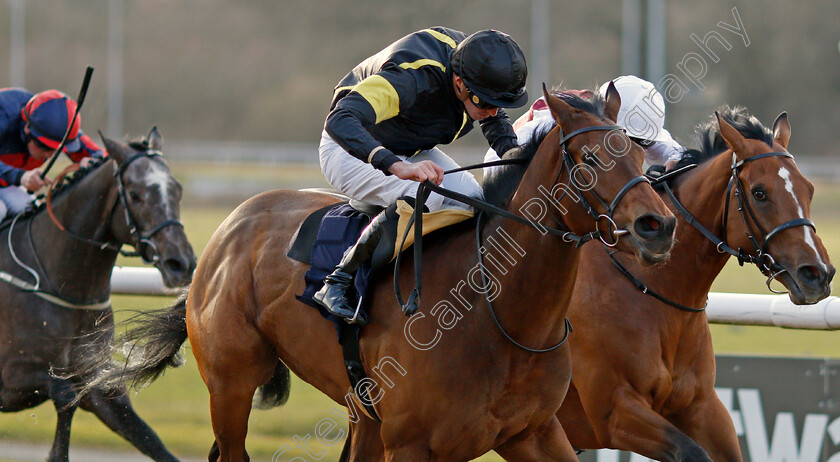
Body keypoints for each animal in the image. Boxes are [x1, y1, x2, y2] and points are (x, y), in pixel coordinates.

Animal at [0, 127, 195, 462]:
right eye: (135, 194)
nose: (181, 262)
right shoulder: (9, 380)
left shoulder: (99, 382)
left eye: (177, 190)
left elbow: (152, 442)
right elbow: (65, 394)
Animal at [95, 85, 680, 460]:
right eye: (589, 158)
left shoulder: (533, 433)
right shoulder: (411, 442)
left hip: (359, 416)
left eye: (638, 153)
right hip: (231, 386)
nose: (659, 226)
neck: (500, 314)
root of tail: (228, 228)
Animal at [556, 105, 836, 462]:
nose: (818, 274)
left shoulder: (702, 406)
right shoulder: (615, 412)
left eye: (808, 189)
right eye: (759, 192)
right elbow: (691, 451)